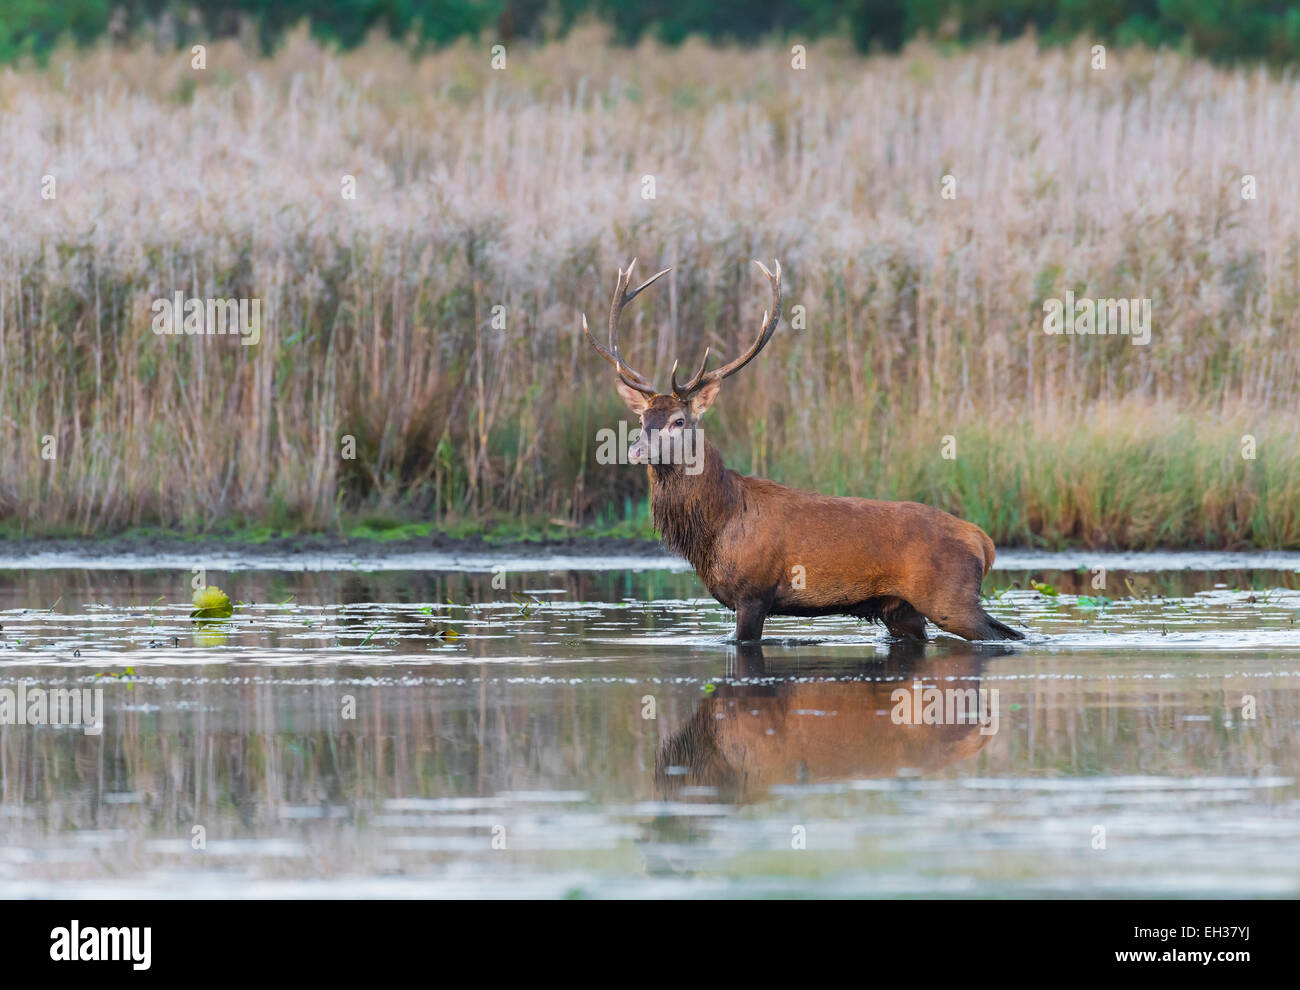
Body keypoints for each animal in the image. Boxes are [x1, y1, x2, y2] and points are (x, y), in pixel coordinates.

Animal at [585, 255, 1019, 639]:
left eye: (679, 421)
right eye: (643, 419)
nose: (636, 450)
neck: (718, 525)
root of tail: (984, 541)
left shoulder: (754, 592)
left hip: (950, 597)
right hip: (903, 610)